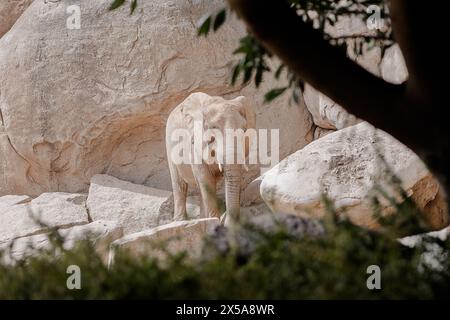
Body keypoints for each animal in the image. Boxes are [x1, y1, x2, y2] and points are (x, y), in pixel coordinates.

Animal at [166, 91, 256, 226]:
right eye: (213, 128)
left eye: (244, 130)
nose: (227, 225)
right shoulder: (194, 142)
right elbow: (205, 179)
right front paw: (214, 223)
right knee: (179, 183)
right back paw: (181, 222)